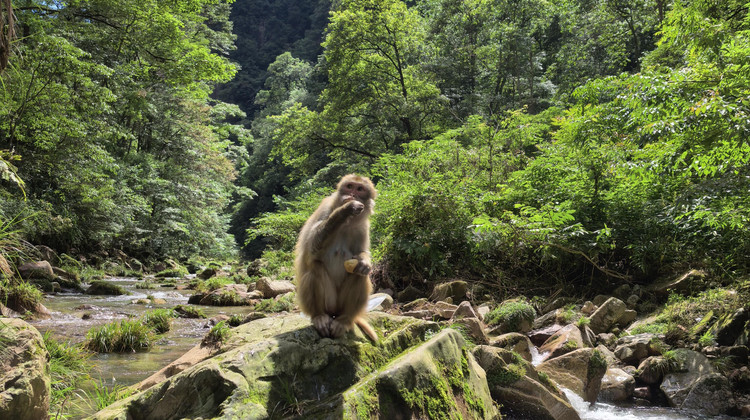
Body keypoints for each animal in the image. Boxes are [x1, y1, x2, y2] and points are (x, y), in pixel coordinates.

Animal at [295, 174, 378, 341]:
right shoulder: (325, 208)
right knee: (314, 268)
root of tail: (334, 313)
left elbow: (362, 253)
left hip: (340, 305)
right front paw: (345, 209)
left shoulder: (362, 227)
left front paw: (365, 262)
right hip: (330, 302)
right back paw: (319, 316)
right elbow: (311, 250)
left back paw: (344, 320)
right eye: (349, 186)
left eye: (360, 189)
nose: (351, 194)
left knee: (359, 274)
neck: (346, 224)